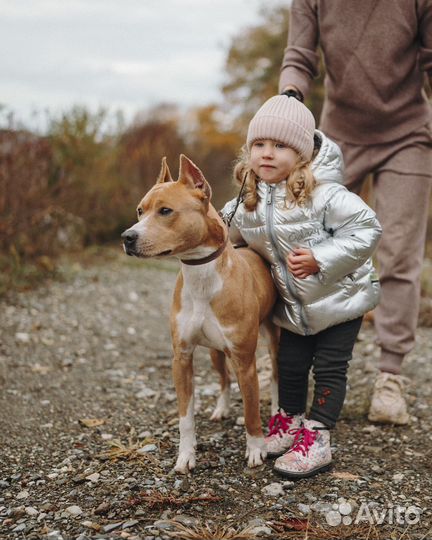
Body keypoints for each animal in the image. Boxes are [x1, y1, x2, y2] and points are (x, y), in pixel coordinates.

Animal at [121, 154, 278, 470]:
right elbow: (185, 417)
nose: (127, 237)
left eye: (165, 211)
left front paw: (256, 449)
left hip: (272, 339)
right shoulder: (181, 358)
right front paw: (185, 456)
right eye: (140, 210)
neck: (201, 274)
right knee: (224, 378)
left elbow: (252, 411)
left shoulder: (246, 361)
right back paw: (221, 408)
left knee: (279, 379)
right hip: (217, 353)